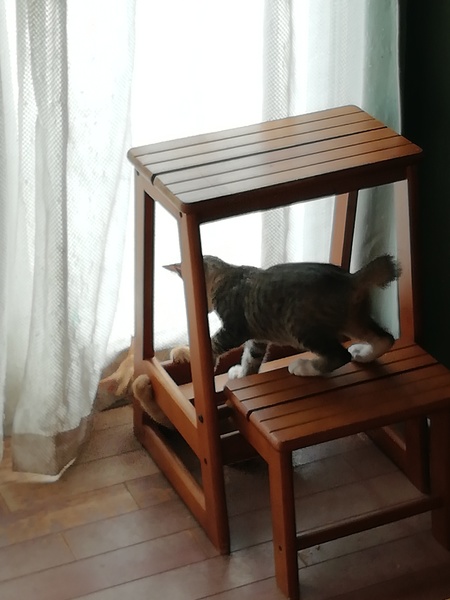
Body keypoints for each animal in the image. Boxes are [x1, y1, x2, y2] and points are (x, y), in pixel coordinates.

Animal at [165, 254, 401, 378]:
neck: (226, 275)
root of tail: (351, 278)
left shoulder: (234, 328)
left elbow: (213, 342)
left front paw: (189, 355)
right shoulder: (256, 336)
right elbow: (251, 358)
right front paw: (243, 375)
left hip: (302, 326)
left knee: (340, 356)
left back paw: (304, 367)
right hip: (353, 320)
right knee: (385, 338)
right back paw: (365, 354)